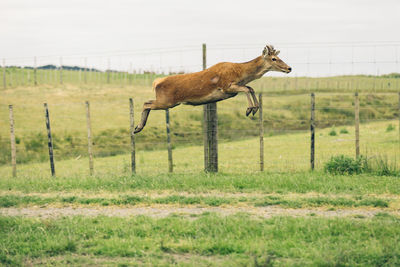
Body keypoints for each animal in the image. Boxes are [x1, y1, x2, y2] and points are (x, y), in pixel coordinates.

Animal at [134, 45, 290, 136]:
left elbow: (250, 88)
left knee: (147, 102)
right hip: (167, 101)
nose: (289, 68)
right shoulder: (226, 86)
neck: (241, 73)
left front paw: (255, 108)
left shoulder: (232, 89)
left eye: (278, 57)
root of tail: (156, 82)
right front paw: (249, 109)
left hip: (165, 101)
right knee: (146, 103)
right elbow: (246, 88)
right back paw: (138, 127)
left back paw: (137, 128)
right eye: (274, 58)